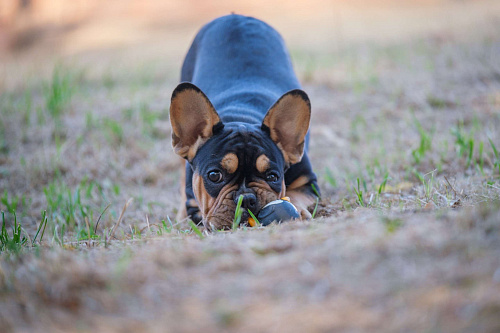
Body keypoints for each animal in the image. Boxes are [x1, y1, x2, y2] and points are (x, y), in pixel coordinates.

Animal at [170, 14, 320, 228]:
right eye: (214, 175)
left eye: (273, 176)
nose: (246, 198)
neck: (242, 116)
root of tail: (235, 16)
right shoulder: (194, 203)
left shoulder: (308, 182)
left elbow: (296, 194)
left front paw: (296, 209)